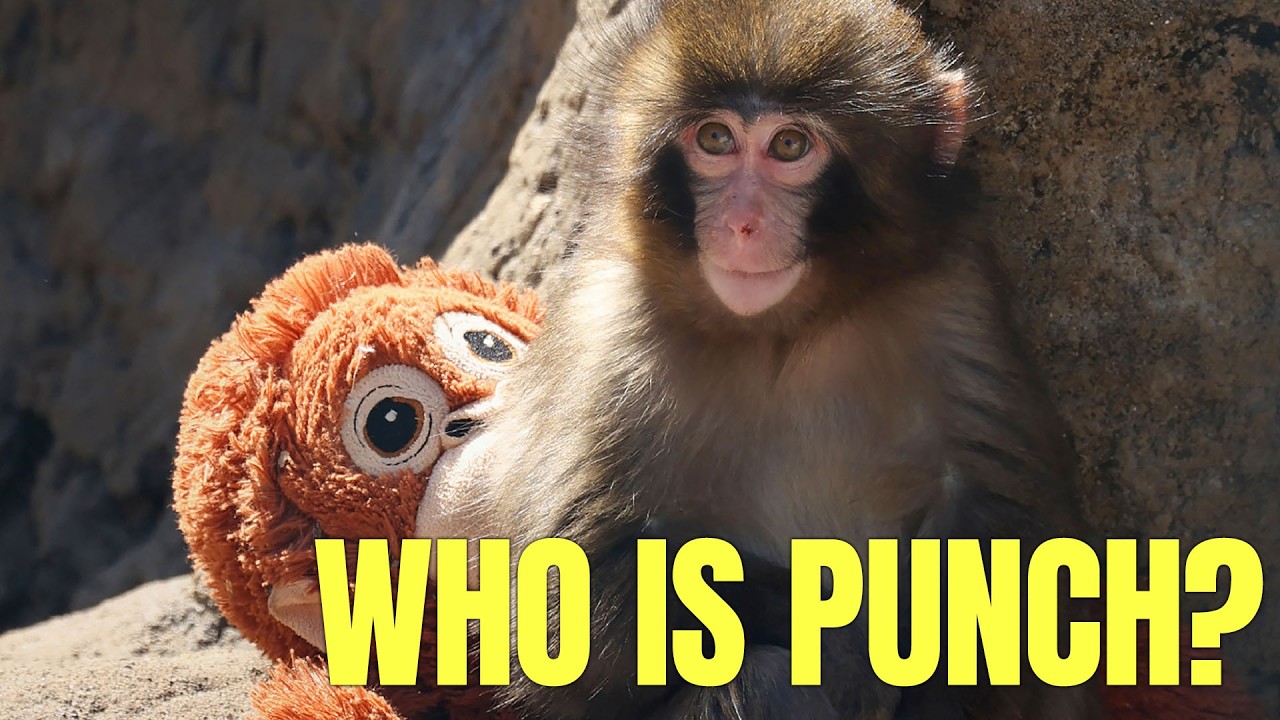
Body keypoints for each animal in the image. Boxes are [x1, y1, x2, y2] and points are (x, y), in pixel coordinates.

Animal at [481, 0, 1099, 717]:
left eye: (790, 147)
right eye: (715, 139)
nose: (742, 224)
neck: (783, 333)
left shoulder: (954, 300)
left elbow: (1021, 550)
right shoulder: (607, 334)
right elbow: (569, 613)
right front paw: (840, 623)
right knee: (758, 678)